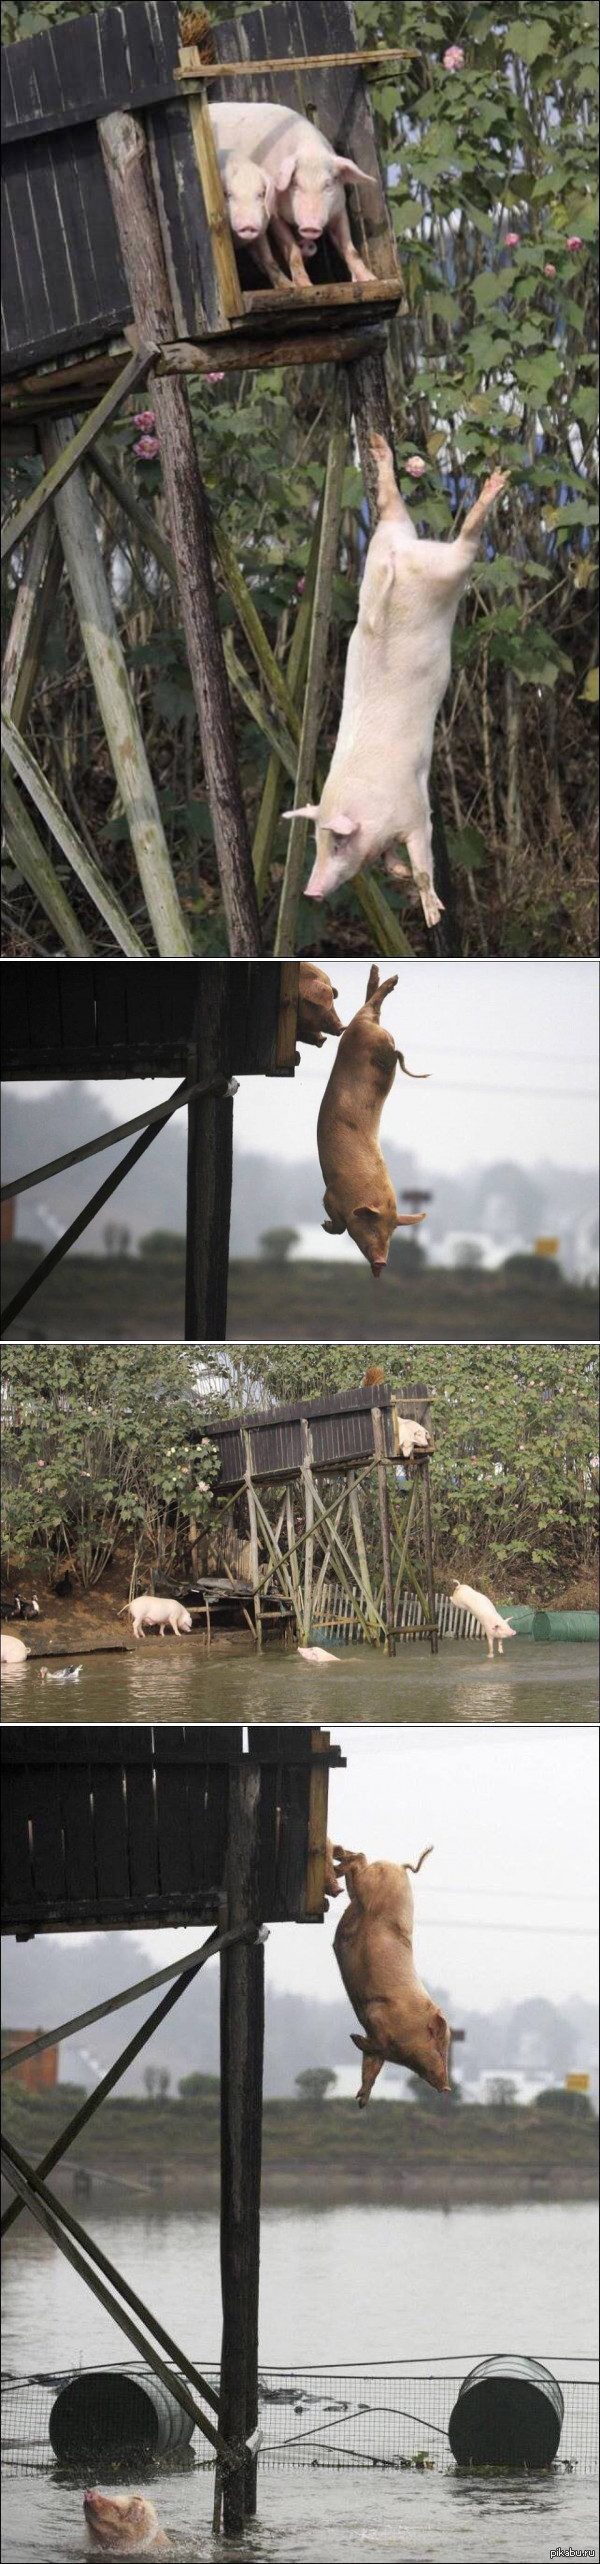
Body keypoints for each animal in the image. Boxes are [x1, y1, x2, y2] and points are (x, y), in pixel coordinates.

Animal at [208, 100, 374, 288]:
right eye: (295, 184)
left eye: (328, 184)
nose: (310, 226)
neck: (310, 149)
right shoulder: (274, 215)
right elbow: (292, 250)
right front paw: (305, 285)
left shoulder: (339, 209)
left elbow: (350, 248)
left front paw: (371, 279)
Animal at [287, 438, 510, 933]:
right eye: (316, 842)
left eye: (336, 842)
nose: (310, 891)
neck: (371, 809)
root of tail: (398, 559)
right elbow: (392, 864)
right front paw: (400, 878)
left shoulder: (414, 809)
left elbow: (423, 856)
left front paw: (431, 913)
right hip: (387, 541)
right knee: (392, 506)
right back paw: (378, 450)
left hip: (444, 569)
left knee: (465, 542)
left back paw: (495, 483)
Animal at [316, 964, 428, 1282]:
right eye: (374, 1227)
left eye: (392, 1232)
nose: (382, 1263)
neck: (360, 1193)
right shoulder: (331, 1194)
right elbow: (339, 1223)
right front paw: (324, 1225)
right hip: (359, 1030)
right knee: (369, 1008)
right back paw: (388, 979)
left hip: (364, 1029)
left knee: (371, 1007)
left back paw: (384, 978)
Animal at [333, 1846, 451, 2102]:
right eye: (440, 2045)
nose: (447, 2088)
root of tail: (399, 1868)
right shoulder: (375, 2017)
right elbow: (372, 2049)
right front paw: (353, 2038)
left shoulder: (379, 2045)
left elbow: (372, 2066)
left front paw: (361, 2101)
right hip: (367, 1883)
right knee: (358, 1859)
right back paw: (337, 1862)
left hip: (360, 1888)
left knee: (358, 1862)